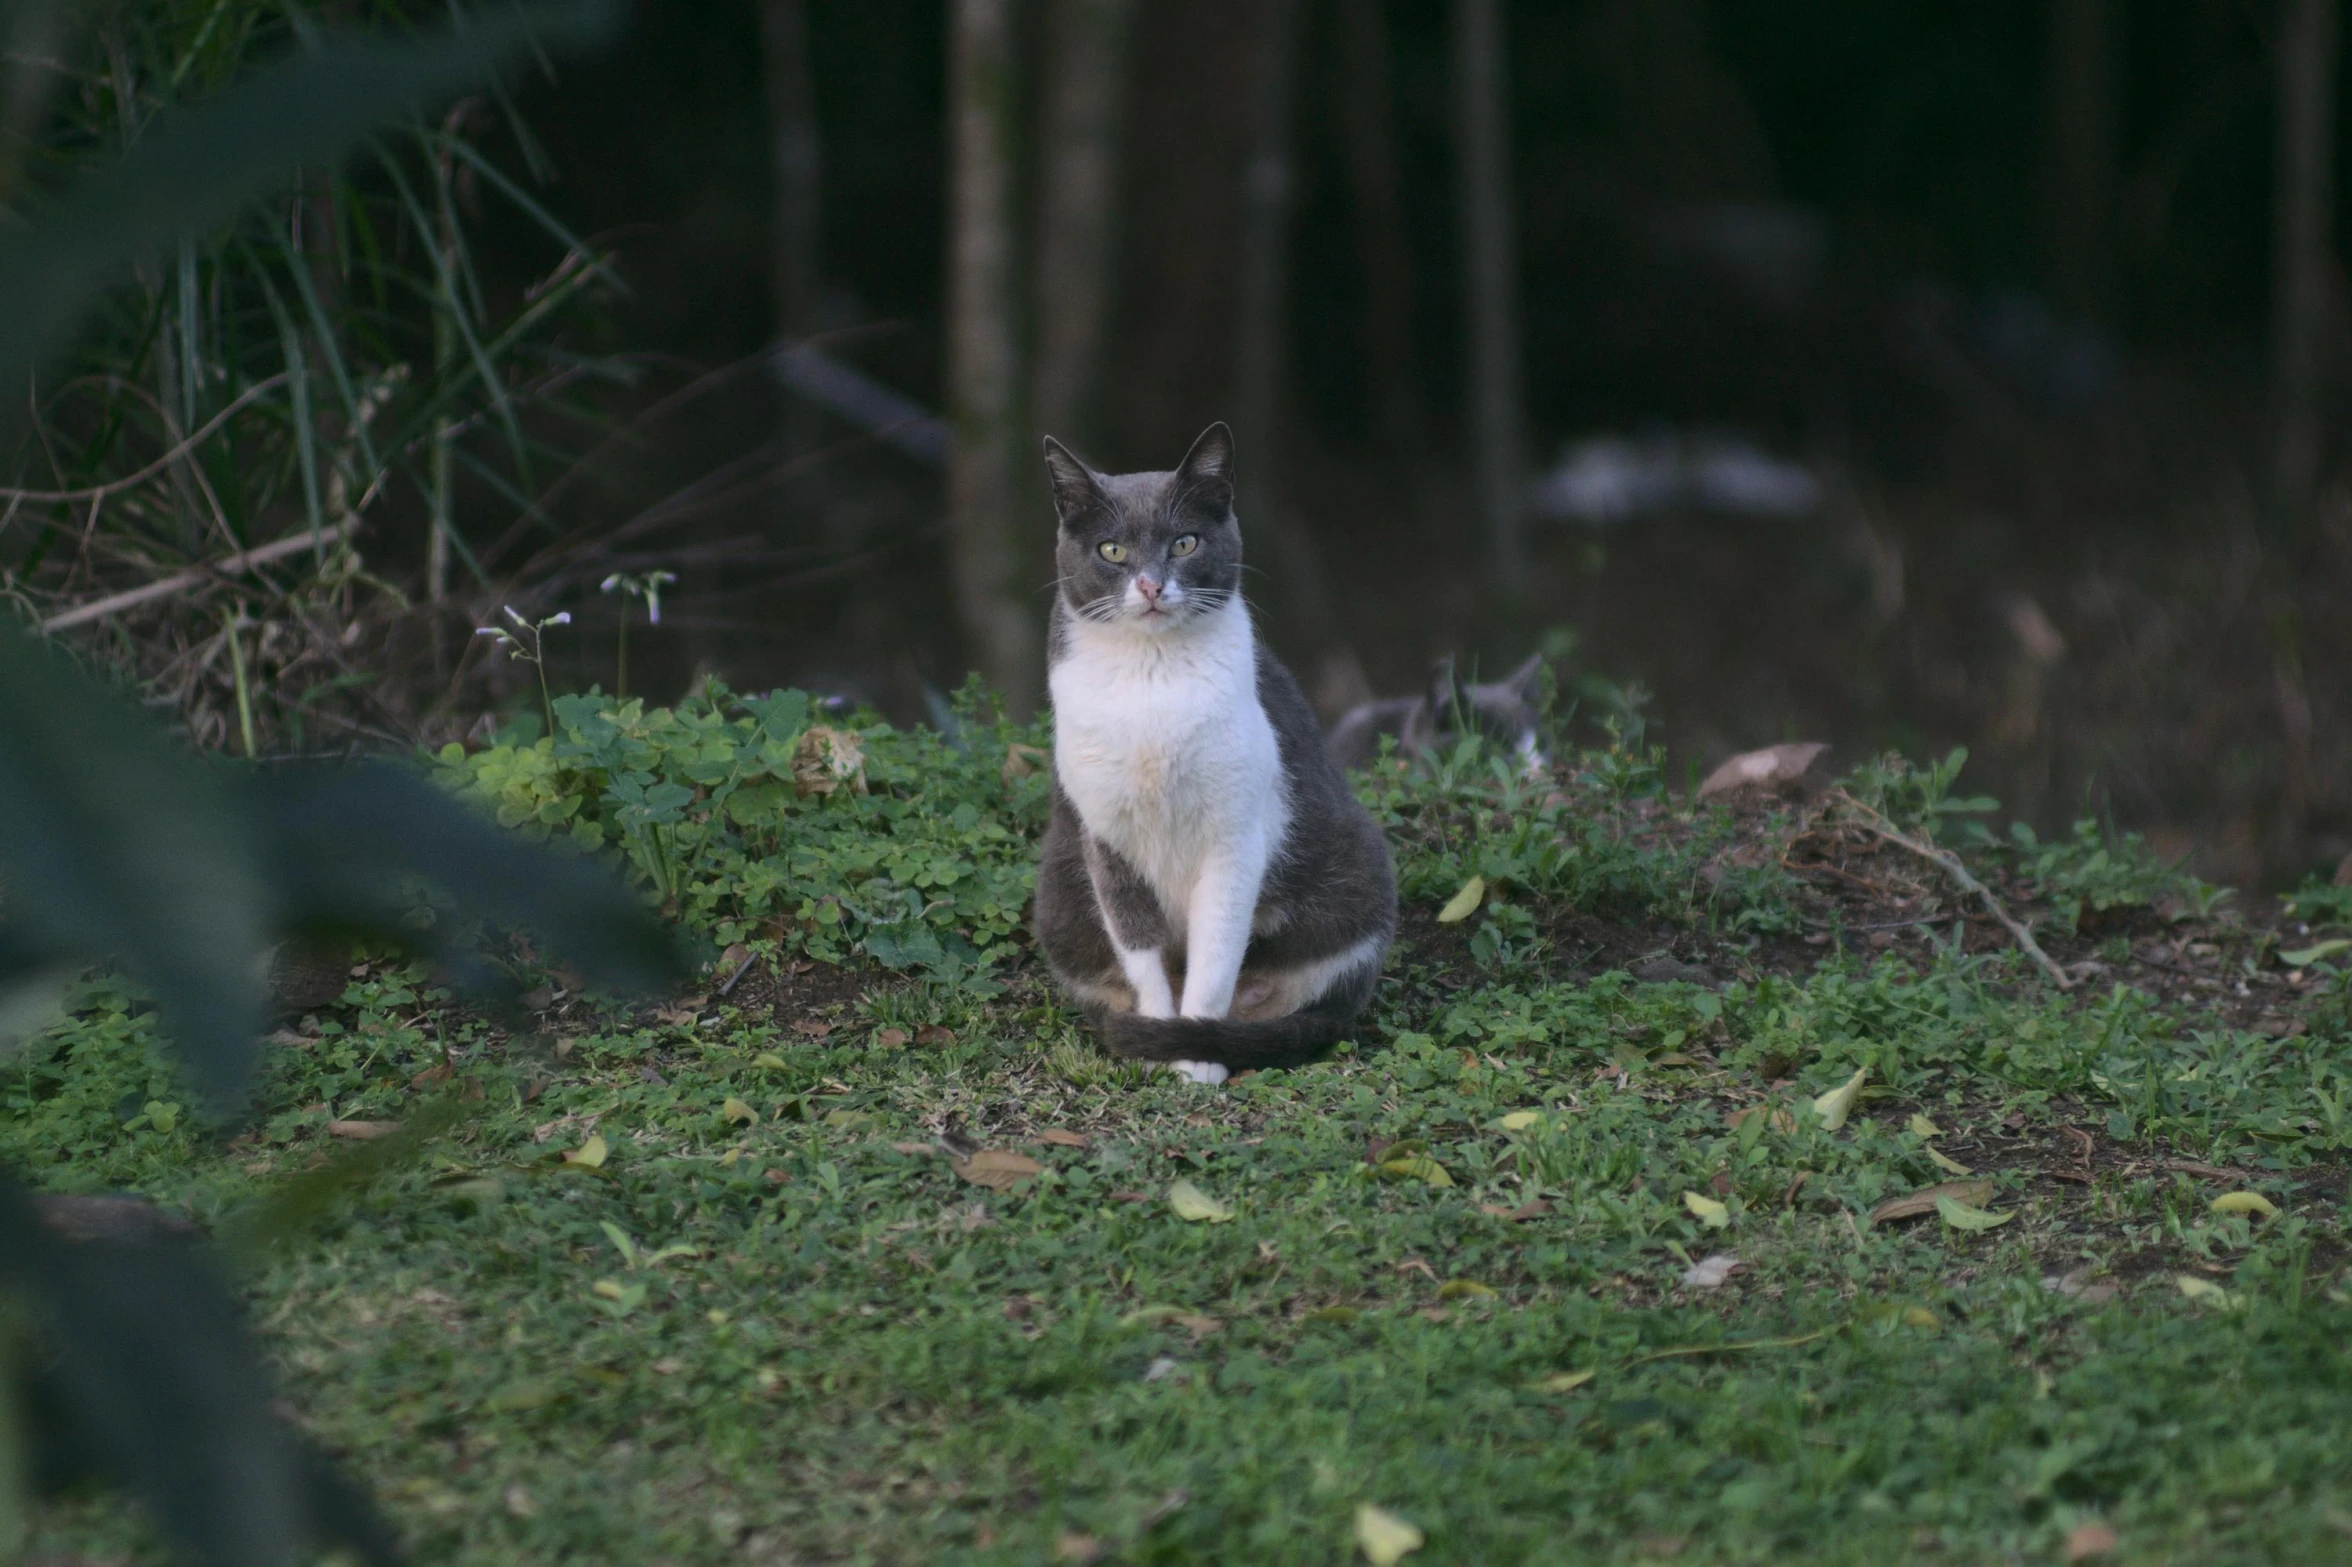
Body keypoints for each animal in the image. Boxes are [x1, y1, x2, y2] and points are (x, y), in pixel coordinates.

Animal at [1034, 428, 1392, 1087]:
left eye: (1185, 542)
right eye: (1112, 550)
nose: (1151, 585)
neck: (1151, 677)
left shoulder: (1237, 833)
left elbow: (1216, 952)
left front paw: (1198, 1060)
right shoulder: (1104, 836)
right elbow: (1139, 946)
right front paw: (1157, 1042)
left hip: (1357, 873)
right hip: (1058, 900)